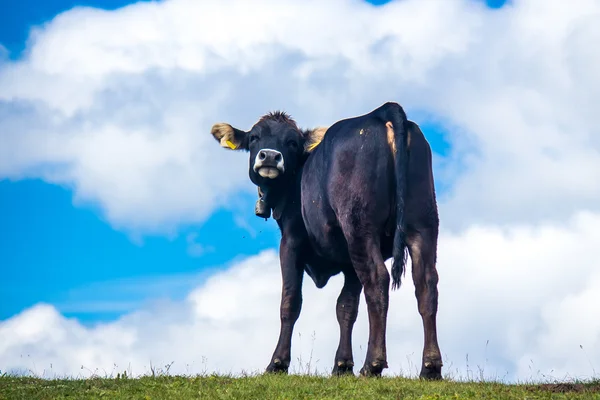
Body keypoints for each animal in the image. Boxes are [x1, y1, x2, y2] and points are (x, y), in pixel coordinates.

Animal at [210, 101, 440, 380]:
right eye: (254, 137)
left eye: (292, 142)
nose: (270, 156)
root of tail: (383, 110)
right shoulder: (349, 262)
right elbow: (346, 307)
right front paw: (342, 365)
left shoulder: (291, 241)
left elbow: (290, 301)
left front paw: (278, 363)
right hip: (422, 223)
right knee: (426, 282)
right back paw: (430, 366)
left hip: (359, 226)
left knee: (378, 280)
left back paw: (373, 363)